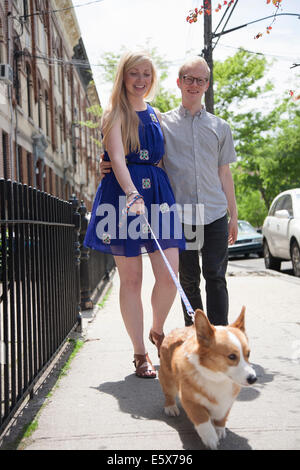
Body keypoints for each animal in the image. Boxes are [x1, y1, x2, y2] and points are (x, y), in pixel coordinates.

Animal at [158, 306, 256, 450]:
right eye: (232, 356)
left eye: (248, 354)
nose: (253, 379)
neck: (217, 377)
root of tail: (176, 330)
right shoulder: (189, 400)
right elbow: (202, 419)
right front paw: (211, 438)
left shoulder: (228, 401)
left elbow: (222, 416)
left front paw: (219, 430)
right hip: (168, 379)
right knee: (168, 393)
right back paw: (170, 407)